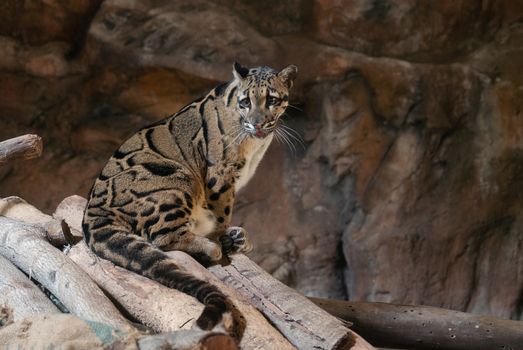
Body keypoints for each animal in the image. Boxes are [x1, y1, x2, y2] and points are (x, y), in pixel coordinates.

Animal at [81, 62, 294, 330]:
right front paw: (222, 237)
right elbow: (221, 212)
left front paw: (233, 237)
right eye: (246, 102)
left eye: (272, 100)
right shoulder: (219, 174)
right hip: (177, 177)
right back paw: (213, 247)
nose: (257, 124)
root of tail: (92, 212)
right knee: (162, 237)